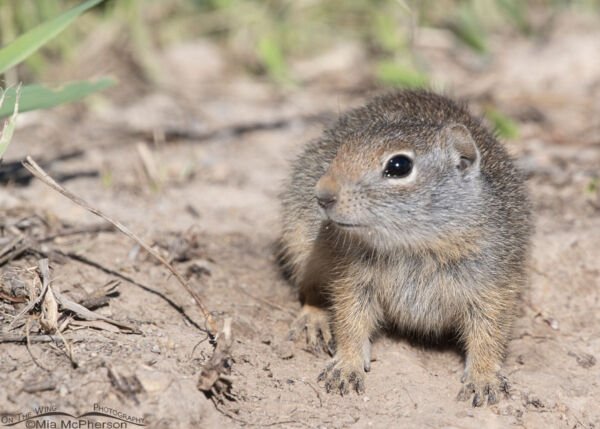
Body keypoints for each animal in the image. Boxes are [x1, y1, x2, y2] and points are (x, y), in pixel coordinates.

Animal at [278, 89, 532, 404]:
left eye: (398, 166)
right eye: (342, 148)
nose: (322, 194)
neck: (413, 242)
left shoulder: (493, 284)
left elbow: (490, 333)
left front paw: (484, 379)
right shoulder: (354, 278)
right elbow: (349, 321)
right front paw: (346, 366)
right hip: (300, 242)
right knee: (310, 290)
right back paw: (314, 320)